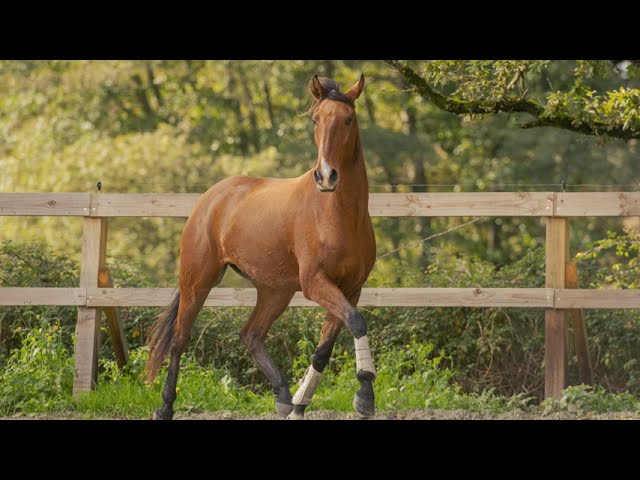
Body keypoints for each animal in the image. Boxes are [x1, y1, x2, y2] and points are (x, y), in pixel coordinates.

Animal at [145, 74, 377, 420]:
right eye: (316, 120)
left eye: (348, 119)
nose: (325, 176)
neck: (338, 215)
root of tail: (211, 197)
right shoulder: (316, 283)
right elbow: (357, 323)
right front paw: (364, 395)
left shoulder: (351, 288)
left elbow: (326, 348)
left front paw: (301, 405)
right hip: (198, 281)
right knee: (179, 339)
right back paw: (165, 407)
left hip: (274, 291)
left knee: (251, 335)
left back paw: (283, 397)